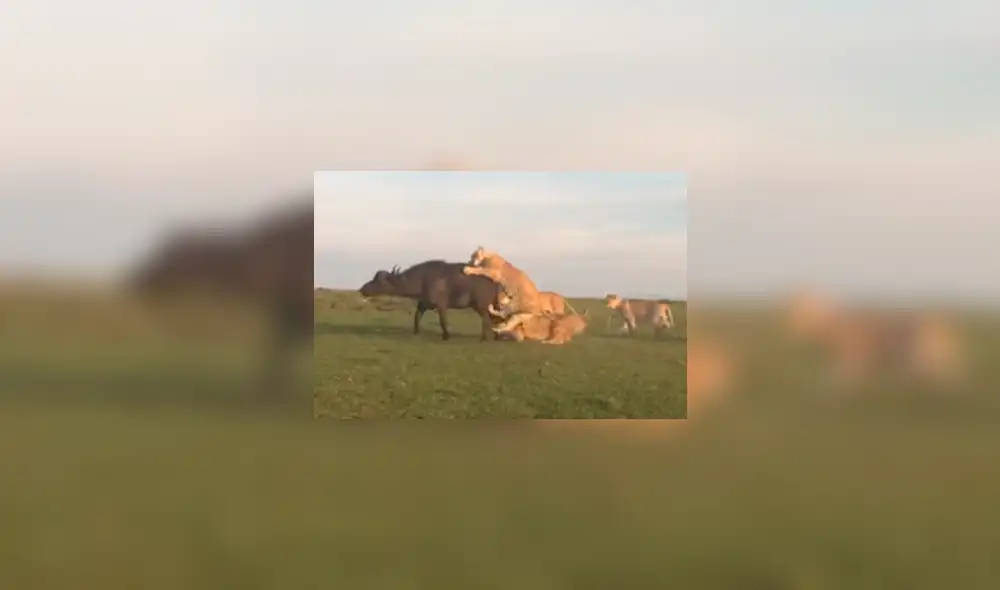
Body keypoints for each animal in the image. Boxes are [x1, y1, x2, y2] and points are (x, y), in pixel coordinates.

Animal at [358, 260, 505, 341]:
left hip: (480, 305)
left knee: (486, 319)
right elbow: (417, 318)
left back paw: (484, 338)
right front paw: (416, 332)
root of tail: (495, 282)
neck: (422, 280)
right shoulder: (422, 304)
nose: (362, 289)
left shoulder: (441, 305)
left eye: (378, 281)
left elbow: (442, 320)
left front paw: (446, 336)